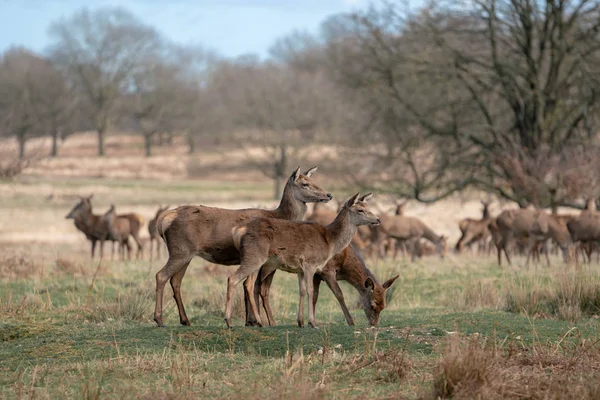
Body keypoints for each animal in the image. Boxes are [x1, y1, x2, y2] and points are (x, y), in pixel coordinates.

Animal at [152, 167, 330, 326]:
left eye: (314, 180)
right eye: (305, 184)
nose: (329, 194)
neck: (280, 216)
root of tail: (163, 220)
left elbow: (250, 288)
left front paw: (250, 321)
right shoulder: (266, 261)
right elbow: (259, 289)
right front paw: (264, 321)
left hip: (186, 254)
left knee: (175, 281)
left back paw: (185, 320)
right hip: (180, 250)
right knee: (161, 275)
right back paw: (159, 319)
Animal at [230, 193, 380, 328]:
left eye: (368, 206)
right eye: (360, 210)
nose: (378, 219)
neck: (329, 241)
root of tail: (238, 231)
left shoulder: (300, 269)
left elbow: (302, 290)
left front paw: (300, 322)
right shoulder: (310, 264)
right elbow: (311, 290)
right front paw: (313, 323)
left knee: (249, 284)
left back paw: (256, 321)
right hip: (255, 259)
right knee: (236, 280)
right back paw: (235, 321)